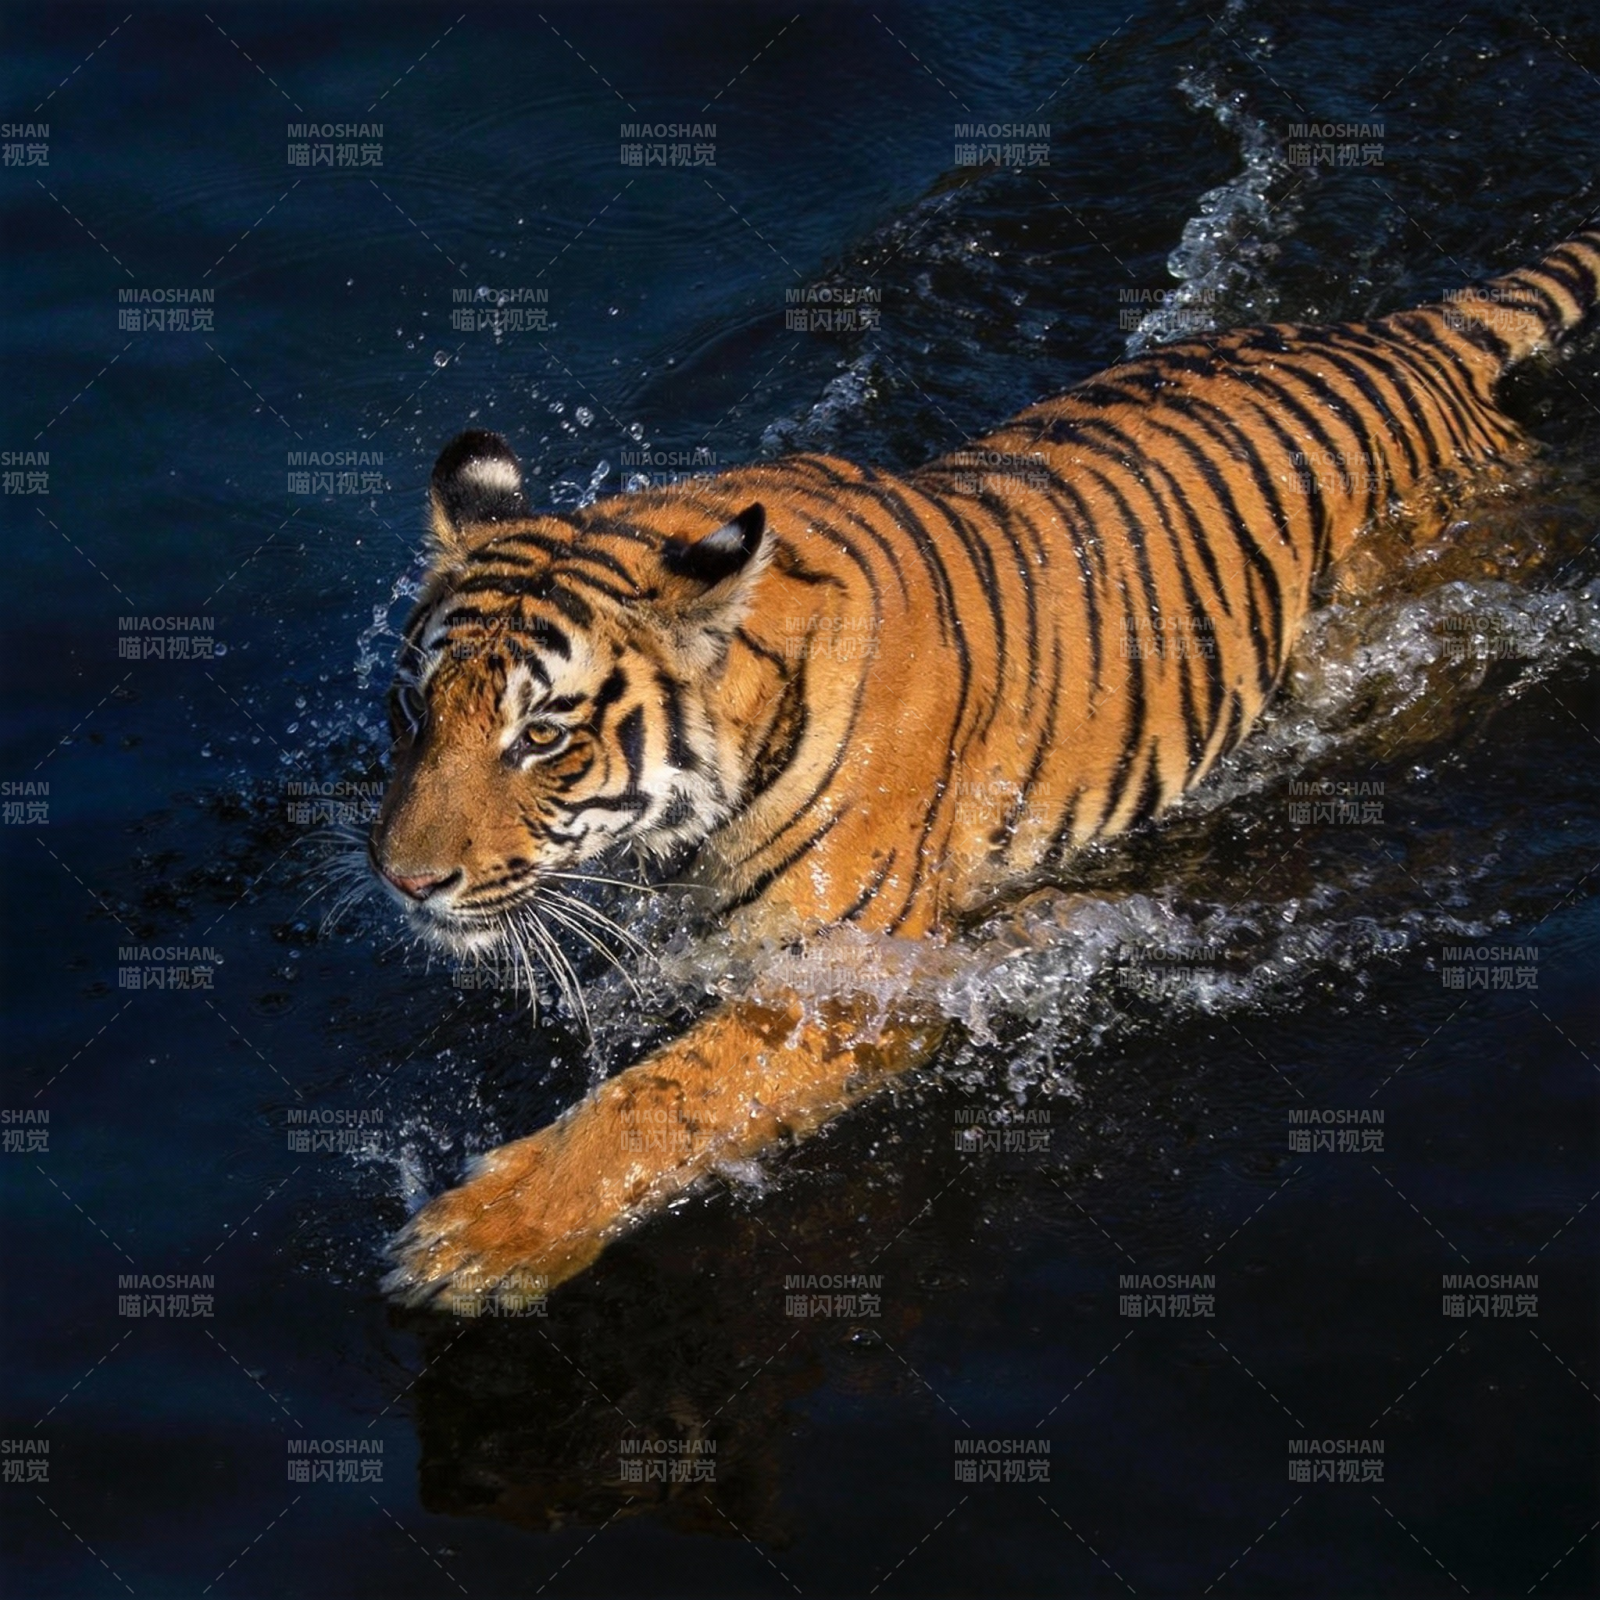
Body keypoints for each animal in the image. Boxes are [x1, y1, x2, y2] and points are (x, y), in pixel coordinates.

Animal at [372, 228, 1600, 1309]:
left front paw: (477, 1241)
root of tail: (1405, 331)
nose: (403, 880)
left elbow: (668, 1097)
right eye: (417, 707)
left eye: (542, 735)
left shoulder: (852, 980)